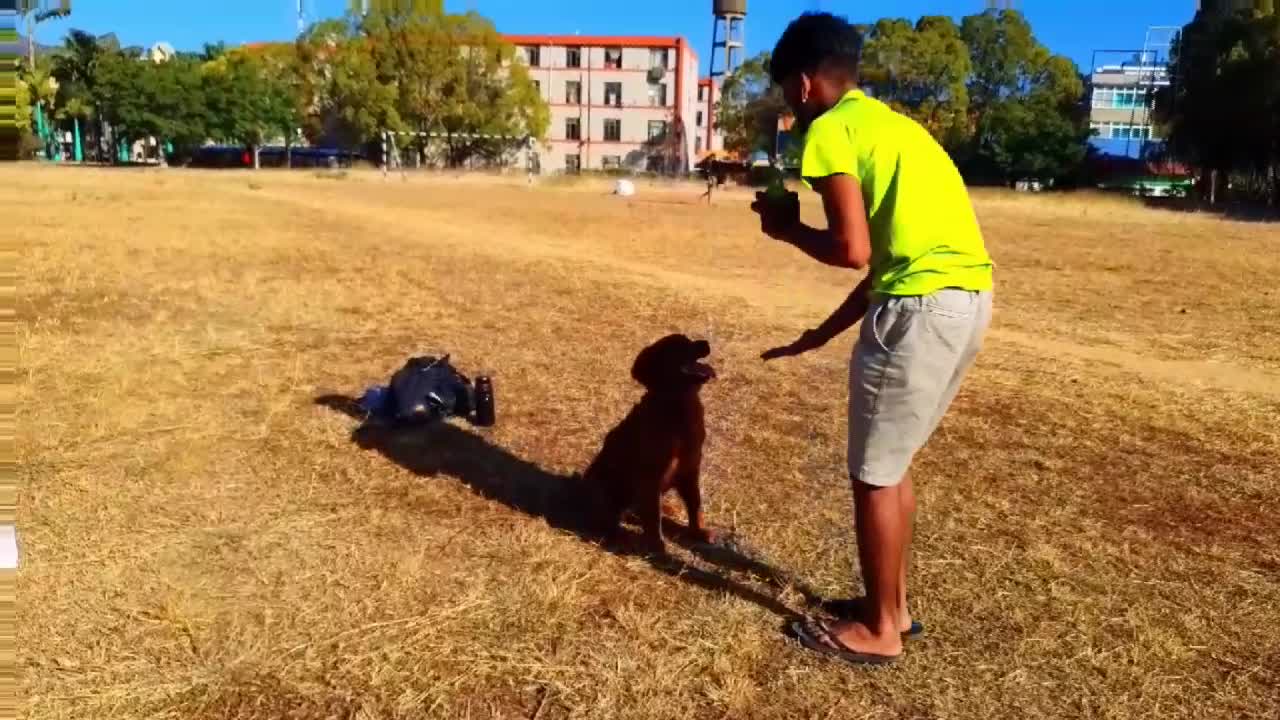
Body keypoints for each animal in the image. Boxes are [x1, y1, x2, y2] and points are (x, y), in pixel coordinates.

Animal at [583, 333, 716, 550]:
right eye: (679, 345)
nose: (706, 343)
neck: (677, 405)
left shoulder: (690, 469)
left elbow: (696, 504)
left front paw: (698, 531)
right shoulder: (651, 476)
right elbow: (653, 517)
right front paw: (656, 545)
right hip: (601, 487)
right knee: (607, 518)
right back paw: (621, 536)